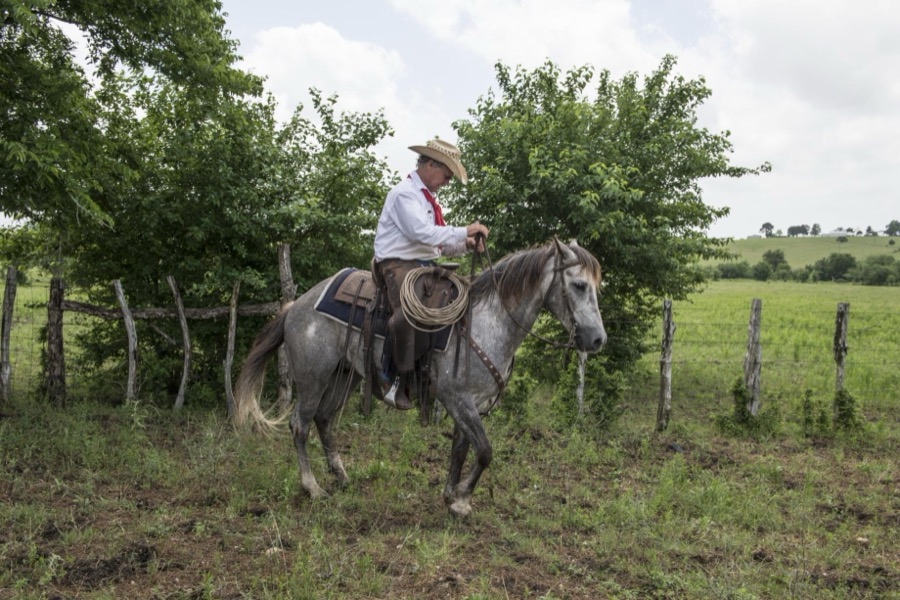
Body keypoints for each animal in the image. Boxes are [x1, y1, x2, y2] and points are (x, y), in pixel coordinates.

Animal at [233, 238, 607, 517]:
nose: (597, 340)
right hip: (313, 379)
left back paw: (341, 476)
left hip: (345, 376)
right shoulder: (457, 398)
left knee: (324, 419)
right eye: (578, 285)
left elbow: (461, 450)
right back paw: (312, 487)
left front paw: (451, 494)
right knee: (300, 424)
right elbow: (484, 450)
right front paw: (461, 501)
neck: (487, 323)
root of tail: (295, 306)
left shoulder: (471, 403)